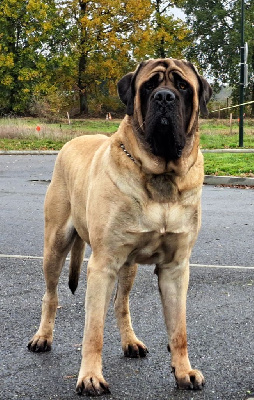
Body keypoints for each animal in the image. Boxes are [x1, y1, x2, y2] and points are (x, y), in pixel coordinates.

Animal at [28, 57, 212, 396]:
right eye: (149, 86)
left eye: (182, 86)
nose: (164, 98)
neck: (161, 176)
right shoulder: (102, 265)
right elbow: (93, 331)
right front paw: (90, 377)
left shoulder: (176, 267)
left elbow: (179, 329)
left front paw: (183, 371)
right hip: (55, 246)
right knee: (52, 295)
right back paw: (42, 337)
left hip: (129, 265)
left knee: (120, 303)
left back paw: (130, 341)